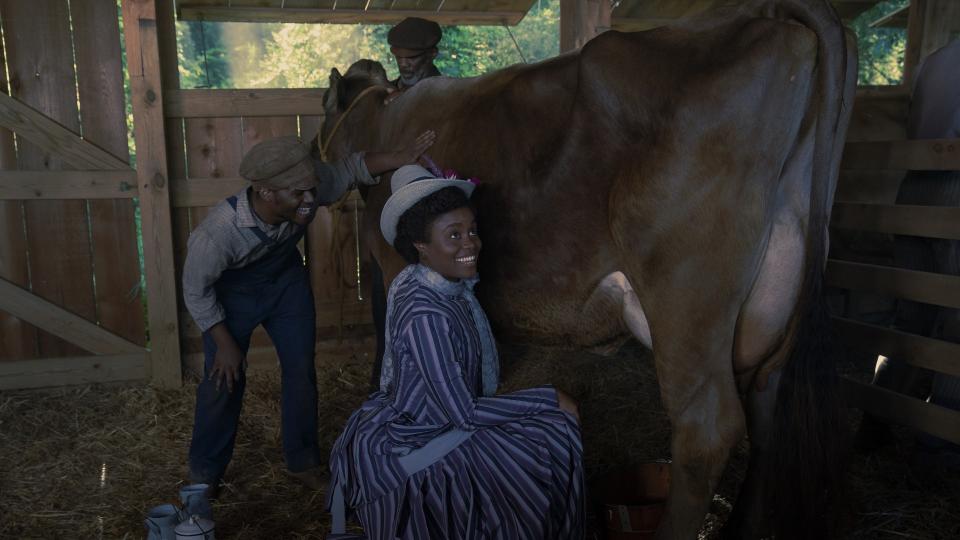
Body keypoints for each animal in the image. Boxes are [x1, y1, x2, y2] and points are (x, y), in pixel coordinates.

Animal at [320, 2, 856, 536]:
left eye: (325, 104)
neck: (385, 122)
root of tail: (768, 16)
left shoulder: (394, 264)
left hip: (686, 298)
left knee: (706, 429)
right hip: (777, 293)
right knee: (766, 404)